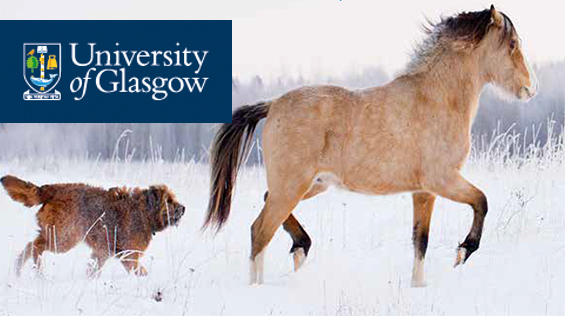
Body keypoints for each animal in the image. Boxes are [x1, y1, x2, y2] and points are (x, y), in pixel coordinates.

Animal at [0, 175, 185, 276]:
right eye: (169, 200)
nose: (183, 208)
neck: (144, 211)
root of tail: (53, 189)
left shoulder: (103, 251)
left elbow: (94, 267)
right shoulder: (129, 255)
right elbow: (139, 271)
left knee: (30, 245)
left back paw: (18, 270)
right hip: (64, 237)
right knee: (36, 246)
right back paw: (38, 272)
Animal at [204, 5, 536, 286]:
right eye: (512, 44)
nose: (530, 89)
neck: (436, 99)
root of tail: (272, 105)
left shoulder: (424, 190)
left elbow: (420, 241)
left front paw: (419, 285)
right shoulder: (442, 179)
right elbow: (481, 201)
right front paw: (463, 251)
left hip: (311, 185)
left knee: (263, 210)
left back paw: (300, 248)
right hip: (291, 187)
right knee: (260, 232)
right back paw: (261, 284)